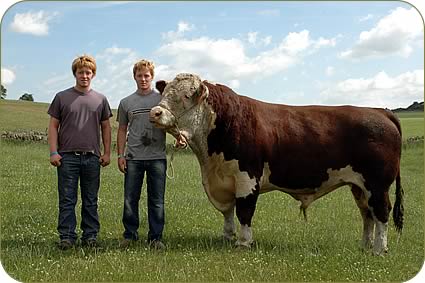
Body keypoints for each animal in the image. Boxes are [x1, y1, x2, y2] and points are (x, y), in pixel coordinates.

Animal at [150, 72, 404, 255]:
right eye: (165, 93)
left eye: (185, 96)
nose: (155, 112)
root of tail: (380, 111)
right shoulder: (223, 181)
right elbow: (228, 212)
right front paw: (227, 237)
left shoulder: (247, 178)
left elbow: (244, 211)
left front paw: (243, 243)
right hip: (359, 186)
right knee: (367, 213)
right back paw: (365, 246)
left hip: (377, 184)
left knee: (381, 212)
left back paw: (379, 250)